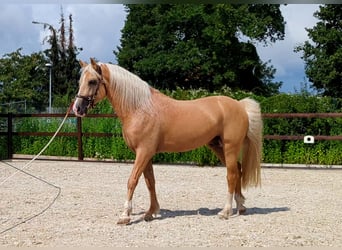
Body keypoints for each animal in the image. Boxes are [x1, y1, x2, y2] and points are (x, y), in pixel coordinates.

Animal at [73, 58, 264, 225]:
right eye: (80, 81)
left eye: (92, 81)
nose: (77, 108)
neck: (140, 108)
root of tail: (240, 106)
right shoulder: (146, 154)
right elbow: (150, 182)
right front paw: (151, 212)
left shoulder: (143, 152)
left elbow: (132, 181)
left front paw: (125, 216)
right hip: (218, 146)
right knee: (237, 170)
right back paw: (240, 206)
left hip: (230, 147)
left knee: (231, 174)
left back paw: (225, 211)